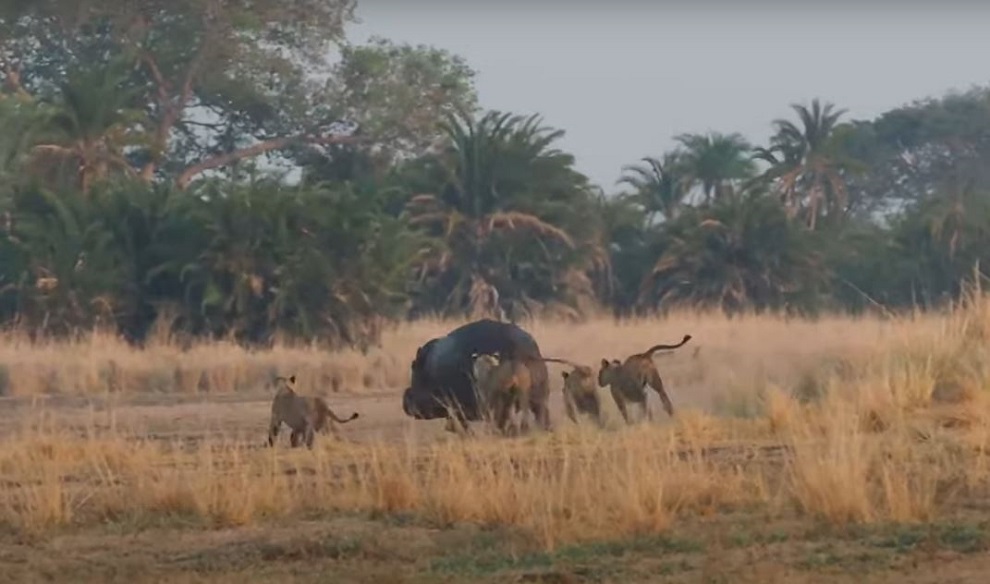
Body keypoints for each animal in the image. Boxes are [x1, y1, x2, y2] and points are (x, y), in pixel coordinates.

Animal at [404, 320, 560, 434]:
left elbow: (461, 423)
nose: (405, 398)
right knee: (540, 413)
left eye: (413, 366)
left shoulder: (456, 404)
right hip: (538, 395)